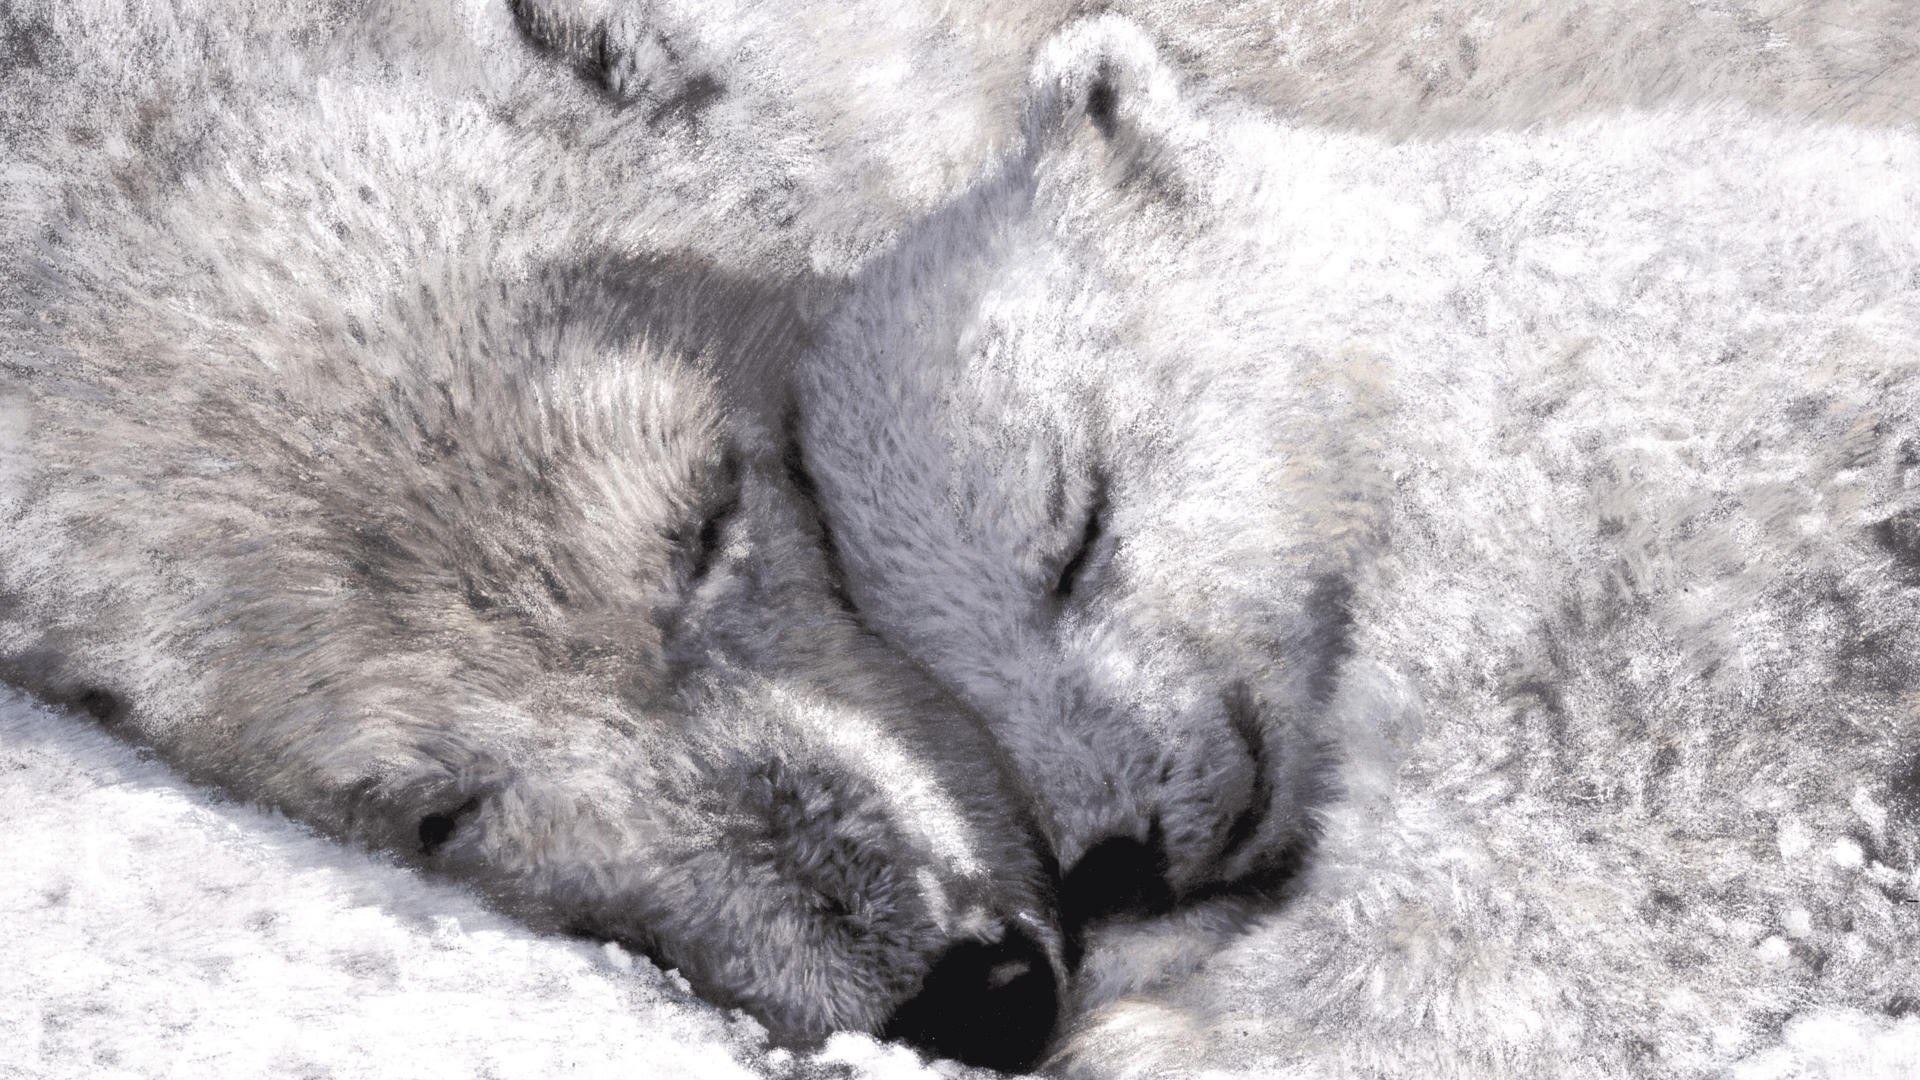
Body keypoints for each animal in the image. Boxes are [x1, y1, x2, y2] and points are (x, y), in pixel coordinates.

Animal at [793, 15, 1920, 1073]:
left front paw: (1169, 1031)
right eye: (953, 689)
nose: (1117, 859)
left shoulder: (1638, 511)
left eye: (1077, 526)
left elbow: (1587, 810)